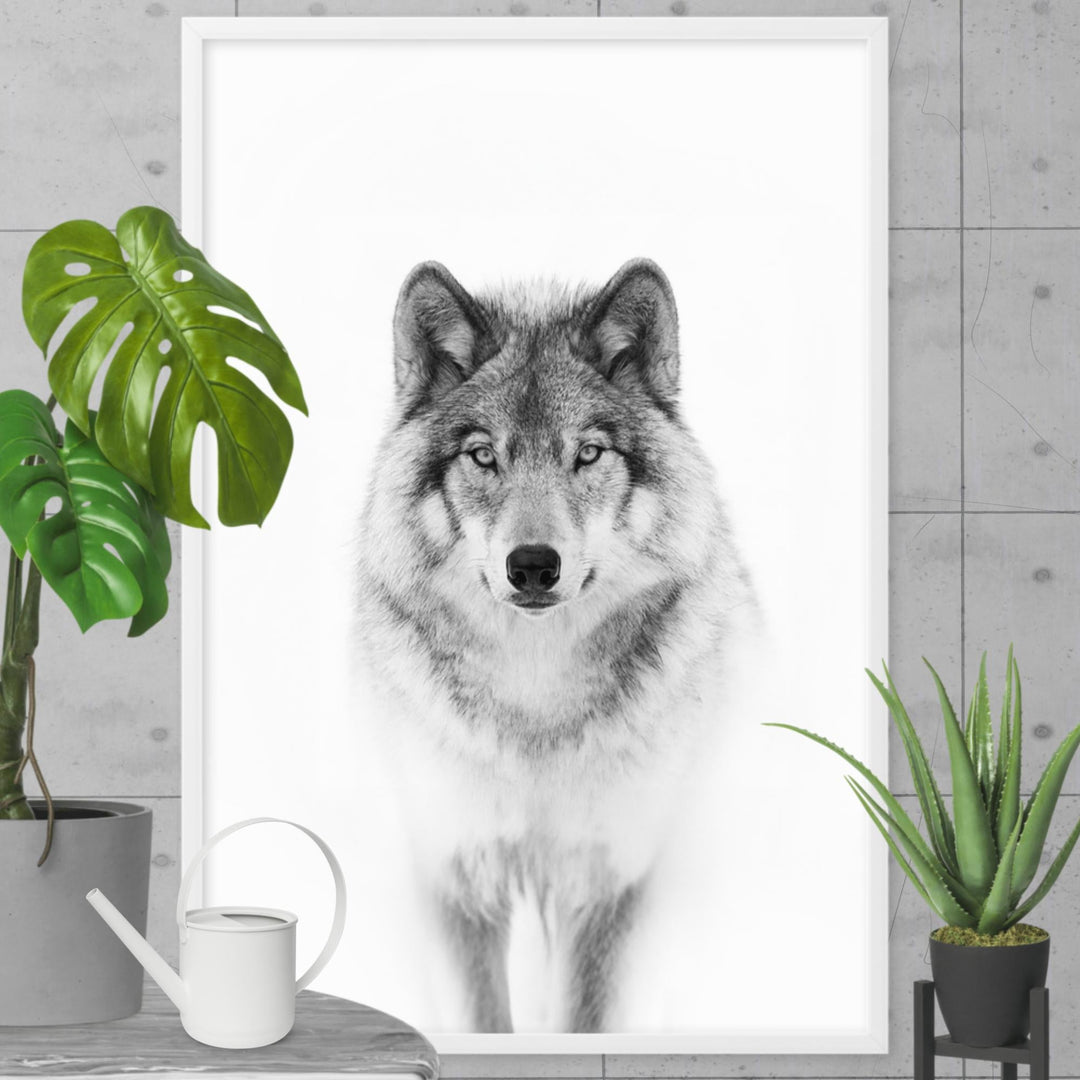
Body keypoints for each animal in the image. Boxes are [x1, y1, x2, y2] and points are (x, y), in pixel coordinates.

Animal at [353, 258, 758, 1034]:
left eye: (588, 454)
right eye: (484, 456)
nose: (534, 565)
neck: (534, 702)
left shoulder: (610, 882)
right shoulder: (458, 876)